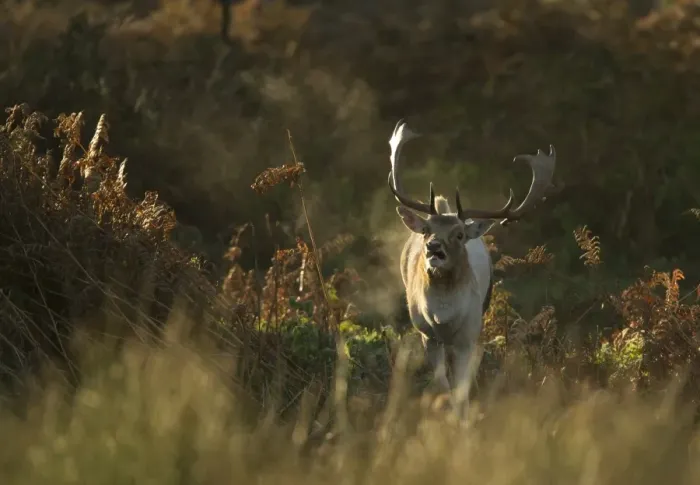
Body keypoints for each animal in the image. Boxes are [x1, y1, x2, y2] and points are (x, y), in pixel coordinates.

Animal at [387, 120, 556, 419]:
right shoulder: (426, 334)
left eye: (459, 234)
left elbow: (461, 389)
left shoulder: (468, 334)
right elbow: (443, 384)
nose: (433, 247)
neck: (442, 317)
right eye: (427, 229)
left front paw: (462, 419)